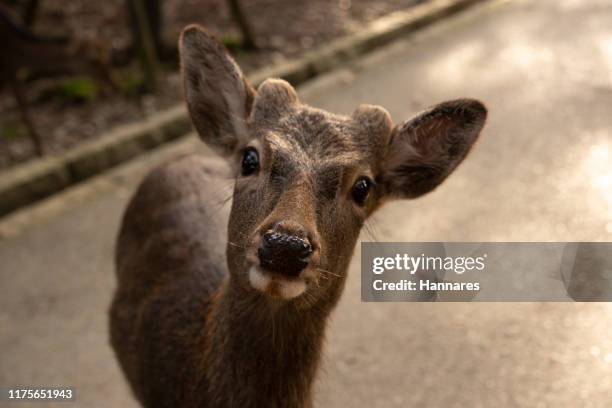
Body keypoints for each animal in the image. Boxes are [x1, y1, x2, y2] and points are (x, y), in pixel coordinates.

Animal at [0, 9, 116, 156]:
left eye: (108, 58)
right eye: (93, 60)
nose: (114, 84)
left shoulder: (11, 72)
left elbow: (25, 112)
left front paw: (41, 150)